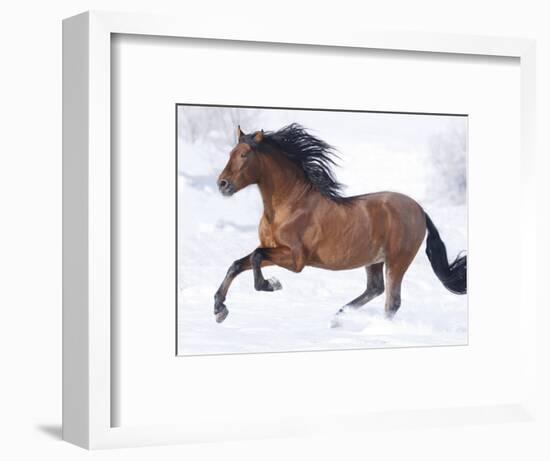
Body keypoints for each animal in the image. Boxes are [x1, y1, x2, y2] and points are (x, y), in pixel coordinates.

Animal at [213, 122, 468, 324]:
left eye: (244, 155)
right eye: (231, 152)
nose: (222, 184)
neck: (289, 206)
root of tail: (420, 210)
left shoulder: (295, 259)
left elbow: (256, 256)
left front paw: (271, 284)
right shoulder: (274, 250)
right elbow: (238, 264)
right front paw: (219, 309)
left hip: (397, 260)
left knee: (391, 302)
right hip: (374, 260)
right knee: (375, 289)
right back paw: (338, 318)